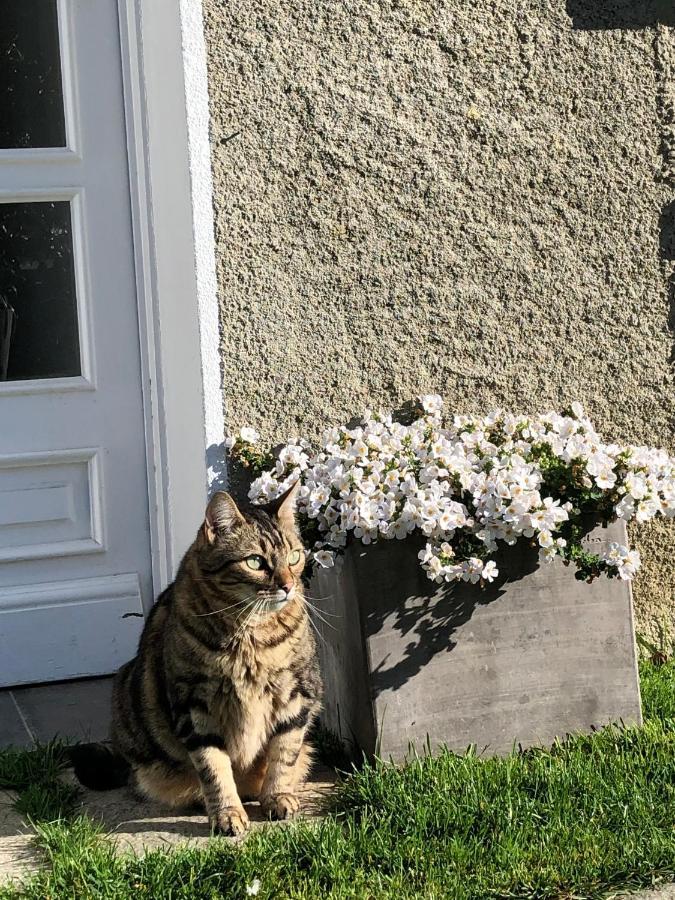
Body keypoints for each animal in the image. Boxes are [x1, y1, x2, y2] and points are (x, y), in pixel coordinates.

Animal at [71, 486, 322, 836]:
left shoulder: (297, 691)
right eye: (256, 562)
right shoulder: (194, 705)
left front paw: (277, 798)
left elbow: (284, 752)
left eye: (295, 557)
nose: (287, 586)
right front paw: (227, 814)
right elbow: (213, 766)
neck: (250, 636)